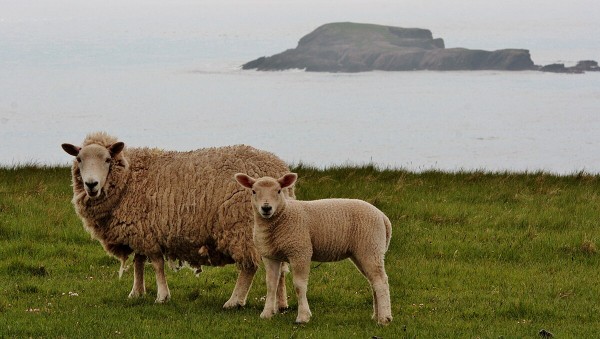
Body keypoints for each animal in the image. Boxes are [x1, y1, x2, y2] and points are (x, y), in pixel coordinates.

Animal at [62, 132, 294, 308]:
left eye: (107, 159)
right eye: (79, 159)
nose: (91, 184)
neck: (129, 179)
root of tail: (278, 169)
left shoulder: (149, 233)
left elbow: (156, 265)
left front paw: (162, 296)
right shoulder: (139, 230)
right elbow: (139, 262)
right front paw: (136, 293)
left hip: (240, 227)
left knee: (248, 267)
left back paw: (234, 301)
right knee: (279, 268)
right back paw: (280, 304)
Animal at [234, 173, 394, 326]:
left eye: (279, 191)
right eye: (254, 191)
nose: (266, 208)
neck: (282, 216)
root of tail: (383, 217)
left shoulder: (300, 251)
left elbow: (299, 285)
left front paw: (303, 317)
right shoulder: (270, 255)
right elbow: (271, 284)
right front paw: (266, 314)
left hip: (370, 248)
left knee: (381, 281)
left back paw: (384, 319)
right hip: (362, 252)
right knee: (373, 281)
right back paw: (376, 315)